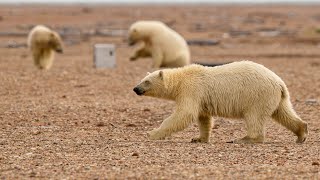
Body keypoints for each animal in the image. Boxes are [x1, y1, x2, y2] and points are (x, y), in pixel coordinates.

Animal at [132, 60, 308, 143]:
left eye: (147, 81)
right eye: (142, 79)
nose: (135, 88)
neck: (181, 80)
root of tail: (279, 82)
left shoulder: (191, 90)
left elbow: (184, 114)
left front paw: (153, 133)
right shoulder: (200, 97)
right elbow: (203, 118)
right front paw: (198, 138)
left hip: (257, 95)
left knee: (254, 117)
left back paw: (244, 139)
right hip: (277, 98)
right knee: (283, 112)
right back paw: (301, 133)